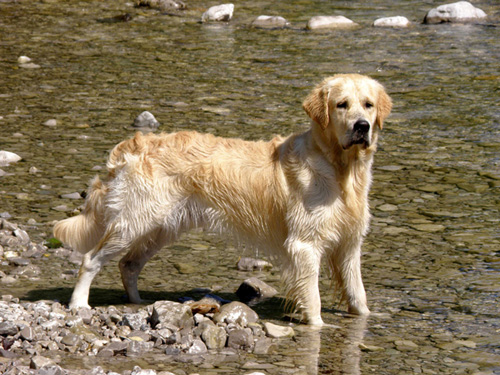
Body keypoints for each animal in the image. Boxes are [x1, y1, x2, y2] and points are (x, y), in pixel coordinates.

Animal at [54, 74, 390, 326]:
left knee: (129, 264)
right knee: (90, 259)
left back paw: (137, 302)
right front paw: (318, 326)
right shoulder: (305, 245)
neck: (340, 169)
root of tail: (133, 144)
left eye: (368, 105)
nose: (362, 126)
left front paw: (366, 318)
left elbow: (358, 293)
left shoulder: (350, 244)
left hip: (161, 227)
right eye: (341, 105)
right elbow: (313, 298)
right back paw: (79, 303)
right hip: (133, 221)